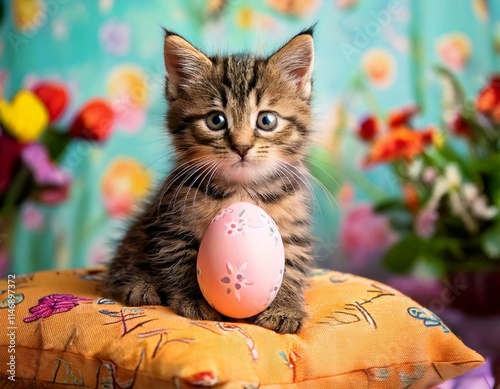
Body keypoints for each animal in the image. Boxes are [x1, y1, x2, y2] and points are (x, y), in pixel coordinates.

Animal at [104, 27, 316, 332]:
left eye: (266, 121)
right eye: (216, 120)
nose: (242, 147)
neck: (242, 190)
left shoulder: (292, 227)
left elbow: (293, 266)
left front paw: (285, 307)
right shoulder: (175, 222)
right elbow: (180, 258)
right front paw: (196, 299)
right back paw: (141, 284)